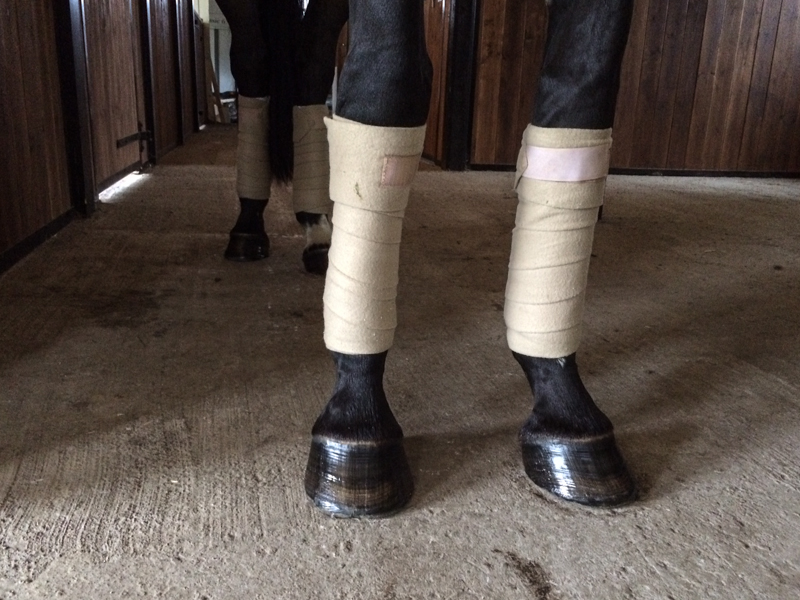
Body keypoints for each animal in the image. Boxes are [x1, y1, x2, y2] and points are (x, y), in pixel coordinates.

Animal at [218, 0, 637, 518]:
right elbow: (388, 78)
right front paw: (356, 428)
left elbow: (581, 89)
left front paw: (568, 419)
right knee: (254, 62)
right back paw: (249, 225)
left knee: (310, 63)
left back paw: (317, 231)